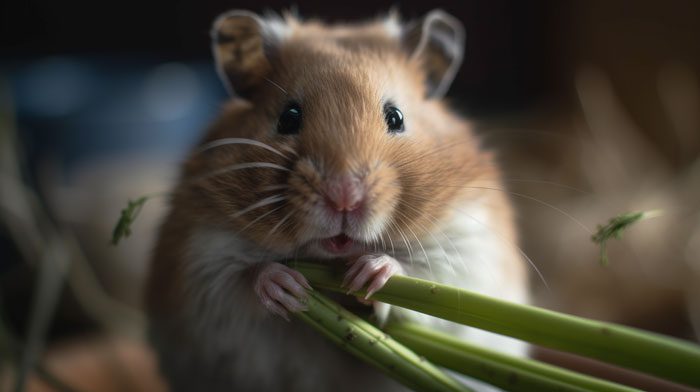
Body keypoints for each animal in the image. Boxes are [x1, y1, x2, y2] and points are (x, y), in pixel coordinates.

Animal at [149, 9, 532, 392]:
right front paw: (288, 287)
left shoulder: (469, 245)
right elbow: (240, 277)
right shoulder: (199, 259)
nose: (344, 199)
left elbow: (426, 272)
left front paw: (369, 275)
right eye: (288, 117)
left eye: (396, 117)